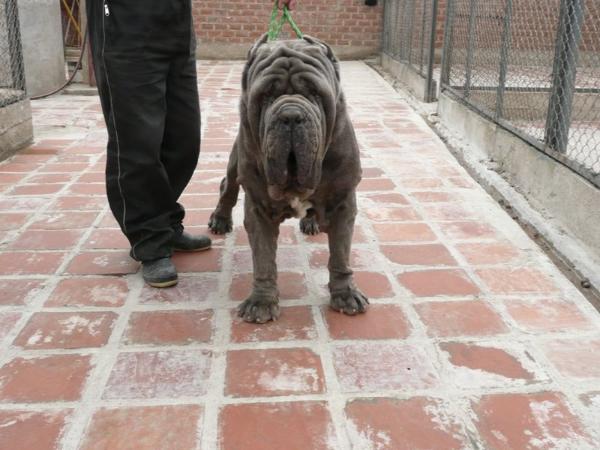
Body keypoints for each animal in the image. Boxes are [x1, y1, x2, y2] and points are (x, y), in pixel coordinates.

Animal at [207, 35, 366, 324]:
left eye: (315, 93)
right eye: (266, 96)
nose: (290, 115)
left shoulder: (343, 202)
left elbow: (340, 255)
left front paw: (346, 294)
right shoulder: (258, 207)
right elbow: (264, 259)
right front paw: (261, 301)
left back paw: (311, 222)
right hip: (236, 162)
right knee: (228, 186)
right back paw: (220, 220)